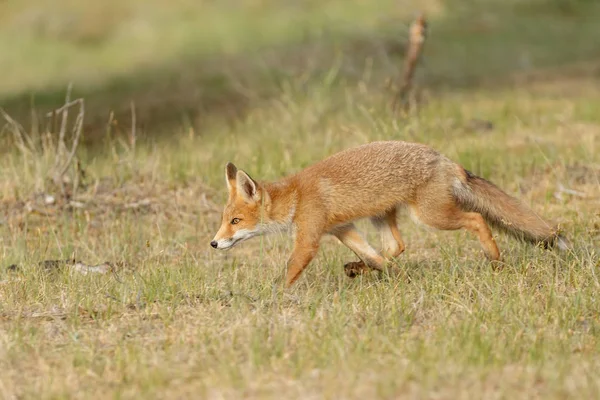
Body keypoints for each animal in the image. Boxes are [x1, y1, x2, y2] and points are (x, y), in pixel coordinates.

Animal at [210, 142, 568, 286]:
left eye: (235, 221)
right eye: (224, 221)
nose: (213, 244)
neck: (296, 197)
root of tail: (443, 158)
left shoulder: (309, 238)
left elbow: (289, 271)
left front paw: (272, 299)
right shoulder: (342, 229)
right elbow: (371, 254)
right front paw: (394, 277)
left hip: (432, 216)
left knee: (477, 219)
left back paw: (495, 260)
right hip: (382, 215)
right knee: (395, 247)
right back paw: (364, 270)